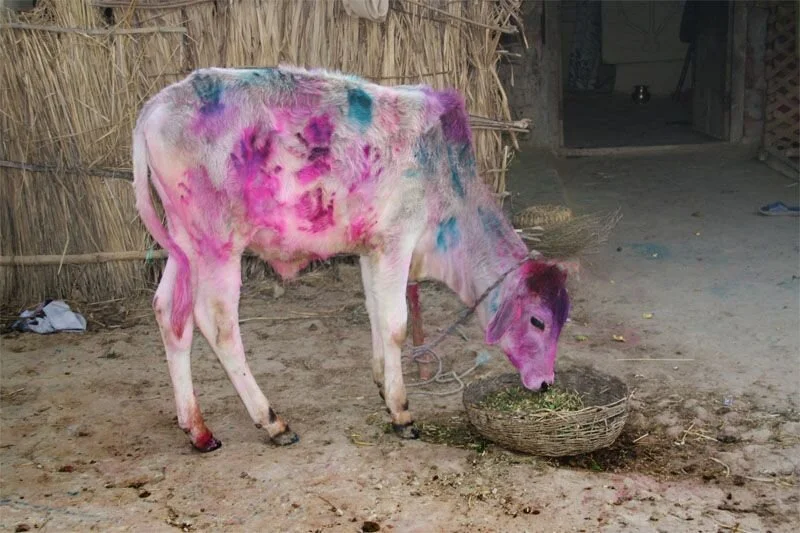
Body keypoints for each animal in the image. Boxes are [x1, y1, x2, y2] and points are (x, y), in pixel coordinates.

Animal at [132, 65, 570, 451]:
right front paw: (402, 412)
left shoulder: (370, 250)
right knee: (217, 324)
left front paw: (382, 384)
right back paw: (272, 422)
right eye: (538, 321)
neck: (445, 175)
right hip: (218, 245)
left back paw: (197, 429)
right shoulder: (396, 242)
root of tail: (155, 106)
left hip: (183, 243)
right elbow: (395, 325)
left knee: (170, 314)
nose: (546, 383)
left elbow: (376, 313)